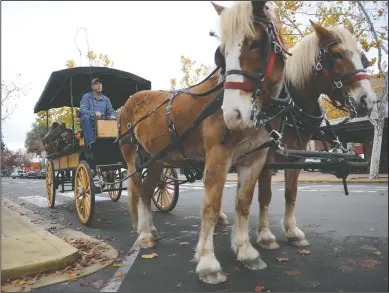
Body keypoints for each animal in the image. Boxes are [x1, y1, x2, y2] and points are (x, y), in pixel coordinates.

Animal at [119, 0, 286, 282]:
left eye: (255, 43)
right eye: (221, 52)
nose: (233, 114)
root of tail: (130, 100)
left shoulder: (254, 159)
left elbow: (243, 204)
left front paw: (246, 252)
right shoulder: (218, 155)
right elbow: (211, 206)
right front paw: (208, 262)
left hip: (157, 159)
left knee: (146, 192)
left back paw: (150, 231)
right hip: (133, 157)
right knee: (137, 189)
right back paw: (143, 233)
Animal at [255, 21, 376, 249]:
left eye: (362, 57)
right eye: (336, 55)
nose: (368, 100)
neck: (290, 107)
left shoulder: (296, 157)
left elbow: (291, 193)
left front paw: (293, 233)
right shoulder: (266, 158)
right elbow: (265, 196)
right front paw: (266, 236)